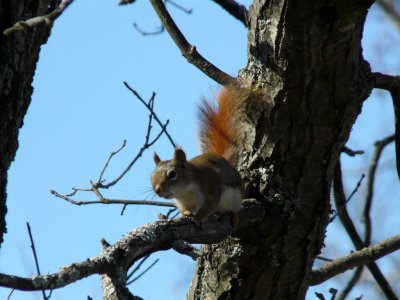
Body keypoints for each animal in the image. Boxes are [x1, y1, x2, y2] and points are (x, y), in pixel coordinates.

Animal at [150, 85, 247, 224]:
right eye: (151, 176)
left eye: (172, 174)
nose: (157, 190)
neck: (183, 193)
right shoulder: (183, 204)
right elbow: (185, 210)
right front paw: (186, 214)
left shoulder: (210, 187)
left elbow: (210, 206)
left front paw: (197, 217)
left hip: (237, 195)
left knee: (236, 206)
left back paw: (235, 215)